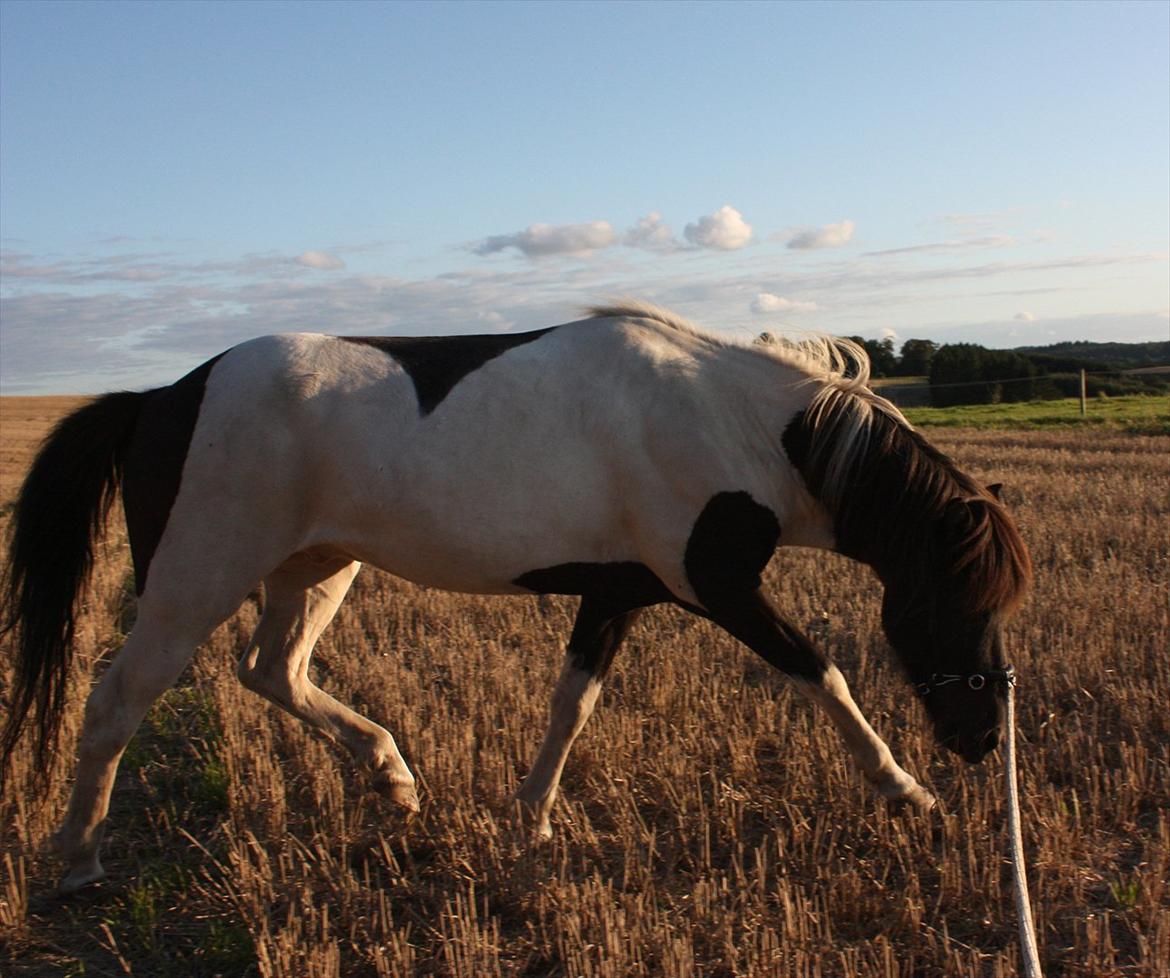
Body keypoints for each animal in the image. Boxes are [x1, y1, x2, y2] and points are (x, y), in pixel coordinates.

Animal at [0, 301, 1029, 889]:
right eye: (957, 596)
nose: (984, 737)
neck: (731, 423)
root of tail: (159, 398)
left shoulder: (619, 594)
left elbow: (572, 705)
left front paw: (527, 823)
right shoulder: (717, 586)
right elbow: (823, 675)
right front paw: (906, 791)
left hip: (318, 567)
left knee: (272, 671)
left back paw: (393, 778)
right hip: (193, 578)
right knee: (116, 702)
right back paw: (79, 857)